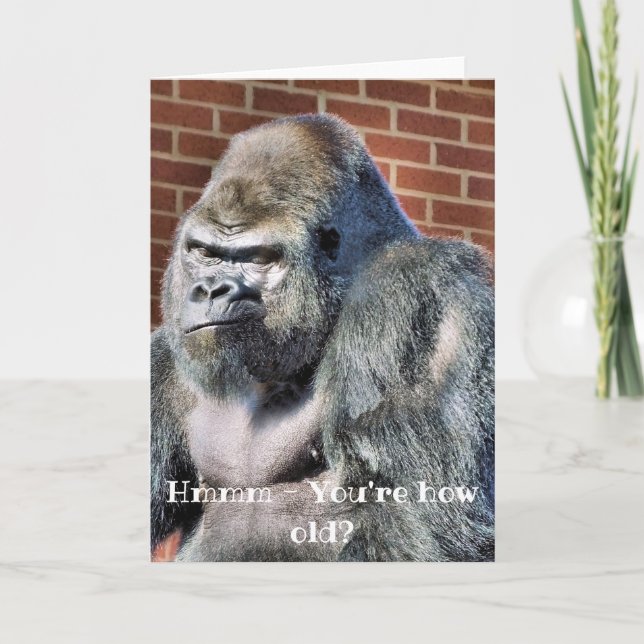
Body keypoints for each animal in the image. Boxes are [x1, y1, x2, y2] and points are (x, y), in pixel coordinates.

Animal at [151, 112, 494, 561]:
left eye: (258, 259)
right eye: (204, 253)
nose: (211, 290)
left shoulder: (414, 291)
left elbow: (427, 522)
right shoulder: (162, 363)